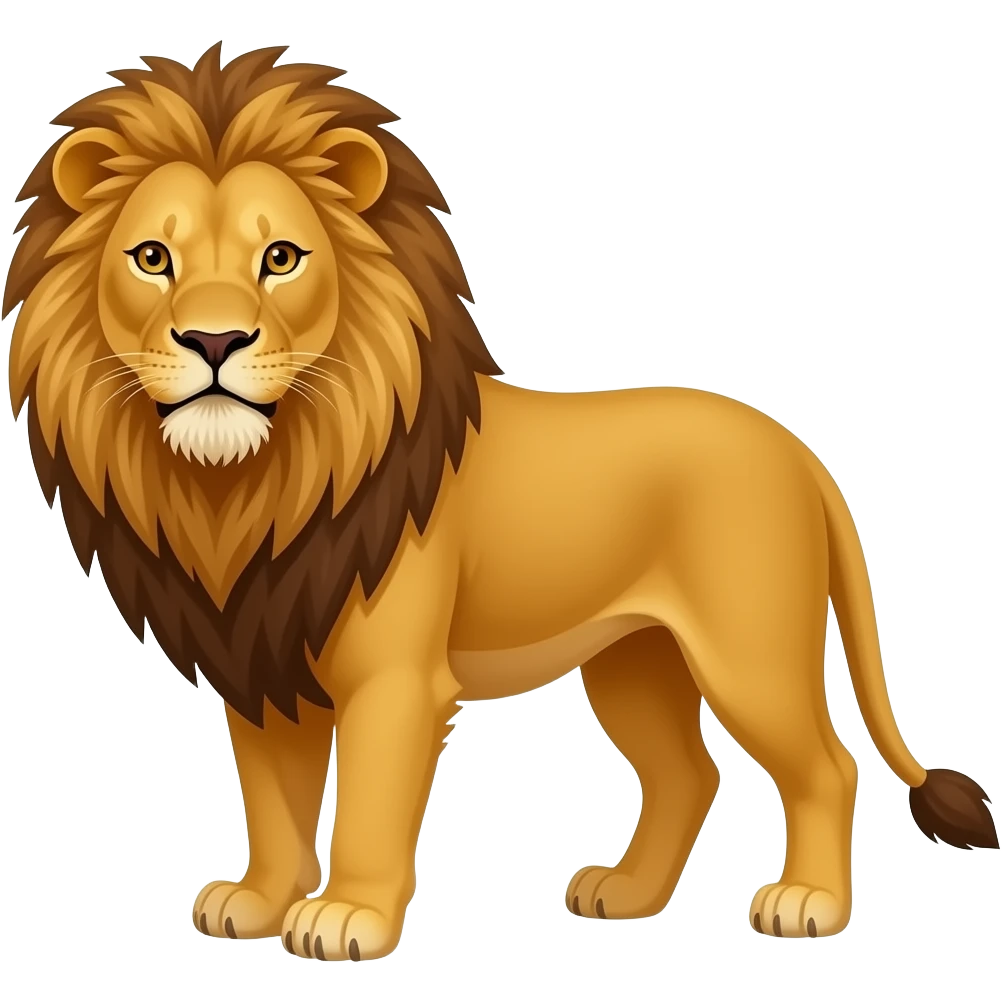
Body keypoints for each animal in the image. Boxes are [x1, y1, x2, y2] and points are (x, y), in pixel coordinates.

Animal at [5, 42, 997, 962]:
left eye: (280, 258)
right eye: (152, 258)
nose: (214, 340)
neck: (248, 484)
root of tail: (802, 453)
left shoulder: (394, 678)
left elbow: (367, 803)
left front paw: (346, 918)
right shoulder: (264, 661)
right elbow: (275, 801)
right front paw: (257, 902)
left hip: (749, 650)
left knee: (827, 766)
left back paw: (807, 906)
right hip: (635, 659)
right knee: (689, 775)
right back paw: (625, 894)